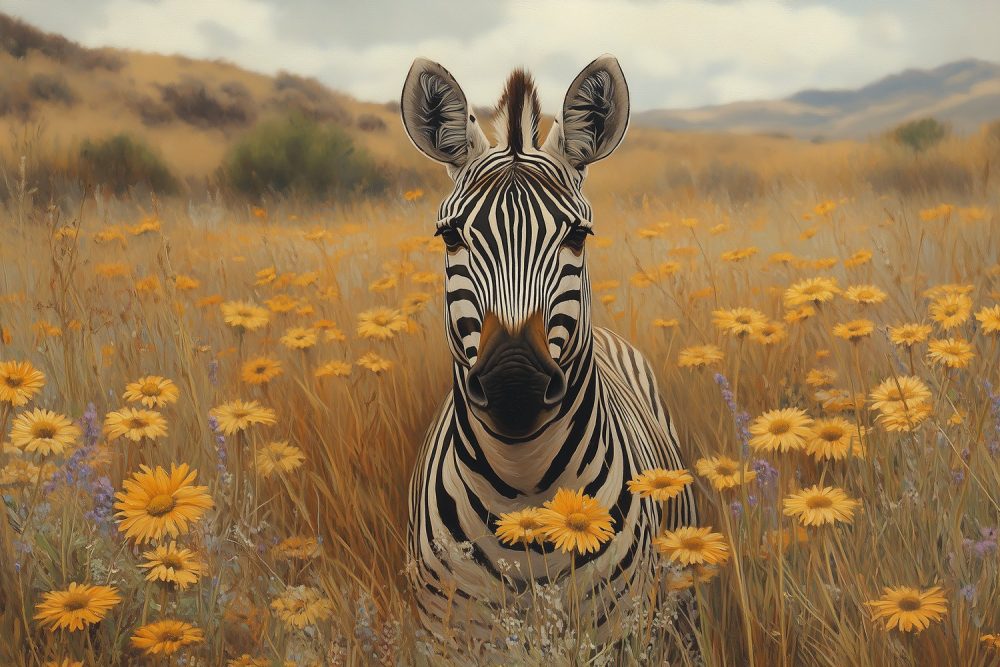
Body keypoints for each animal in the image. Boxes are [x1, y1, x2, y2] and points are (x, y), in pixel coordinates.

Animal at [400, 55, 697, 644]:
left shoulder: (623, 633)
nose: (514, 384)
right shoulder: (445, 636)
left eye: (578, 236)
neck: (524, 495)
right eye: (450, 237)